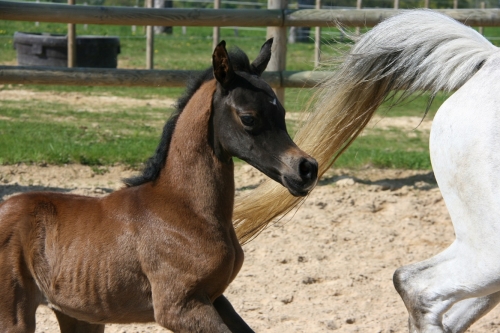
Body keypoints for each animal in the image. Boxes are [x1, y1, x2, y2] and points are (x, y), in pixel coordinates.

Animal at [0, 39, 318, 332]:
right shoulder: (178, 307)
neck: (185, 208)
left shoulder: (216, 298)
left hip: (79, 316)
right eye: (248, 117)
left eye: (283, 113)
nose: (306, 169)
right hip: (14, 315)